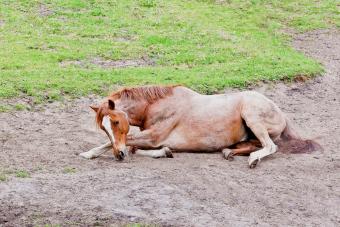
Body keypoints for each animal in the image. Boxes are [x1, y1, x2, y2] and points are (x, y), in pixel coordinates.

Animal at [79, 85, 322, 168]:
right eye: (104, 127)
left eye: (116, 121)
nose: (118, 155)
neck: (156, 105)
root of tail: (281, 112)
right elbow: (133, 148)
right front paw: (165, 152)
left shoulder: (153, 136)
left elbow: (129, 144)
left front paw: (88, 153)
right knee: (256, 145)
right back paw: (229, 152)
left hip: (252, 115)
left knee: (270, 146)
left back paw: (252, 160)